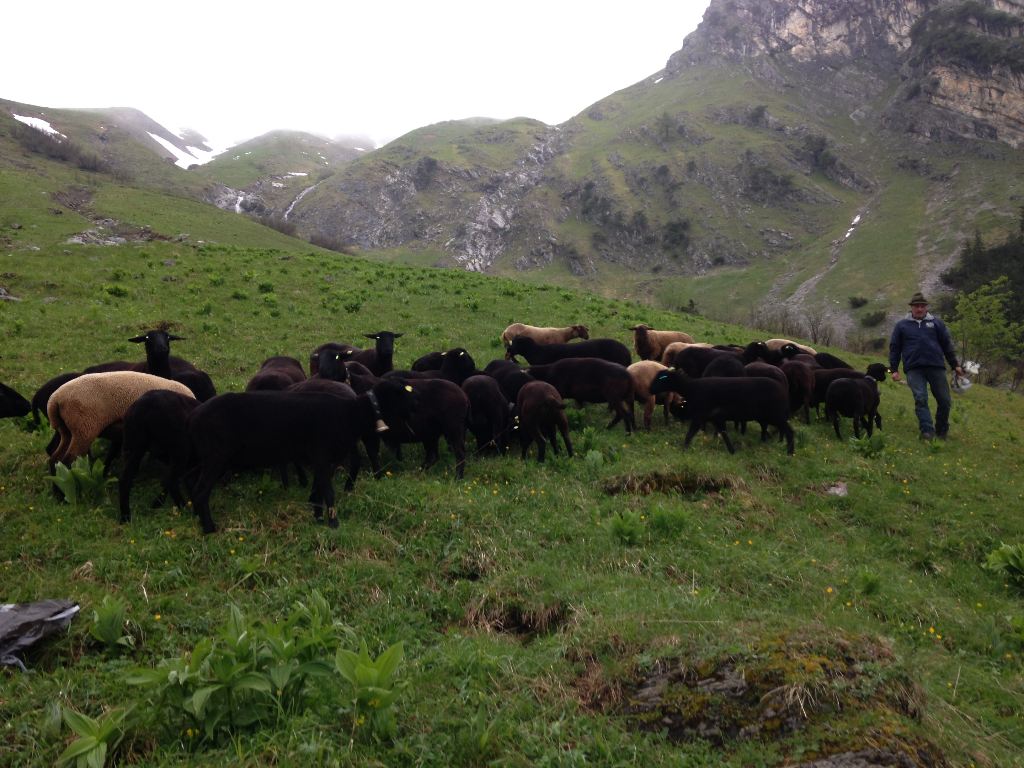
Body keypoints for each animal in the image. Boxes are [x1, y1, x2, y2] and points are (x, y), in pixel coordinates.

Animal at [118, 390, 200, 523]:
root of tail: (146, 404)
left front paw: (157, 503)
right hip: (180, 447)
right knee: (171, 480)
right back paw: (183, 507)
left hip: (134, 446)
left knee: (125, 480)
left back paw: (125, 517)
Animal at [187, 379, 417, 533]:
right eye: (402, 394)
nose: (417, 408)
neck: (351, 414)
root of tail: (194, 417)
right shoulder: (322, 455)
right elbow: (329, 492)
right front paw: (334, 523)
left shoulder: (322, 460)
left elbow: (318, 489)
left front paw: (317, 517)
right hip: (216, 457)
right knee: (200, 491)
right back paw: (209, 528)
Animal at [650, 368, 794, 455]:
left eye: (662, 378)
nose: (650, 389)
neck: (691, 388)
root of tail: (783, 390)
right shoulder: (716, 417)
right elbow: (723, 433)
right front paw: (732, 451)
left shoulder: (700, 415)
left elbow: (690, 433)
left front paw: (684, 449)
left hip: (776, 414)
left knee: (789, 431)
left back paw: (790, 452)